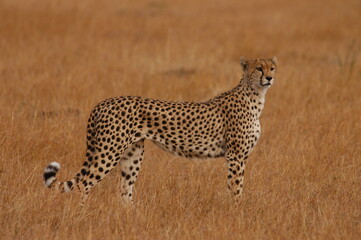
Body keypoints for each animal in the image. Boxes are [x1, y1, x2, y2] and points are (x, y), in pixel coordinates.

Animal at [43, 55, 278, 204]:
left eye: (272, 67)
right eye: (258, 68)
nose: (269, 78)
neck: (255, 95)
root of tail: (103, 102)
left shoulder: (238, 156)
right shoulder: (235, 156)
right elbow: (236, 187)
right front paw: (238, 212)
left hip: (132, 154)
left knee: (124, 190)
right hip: (108, 152)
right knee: (84, 184)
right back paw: (82, 215)